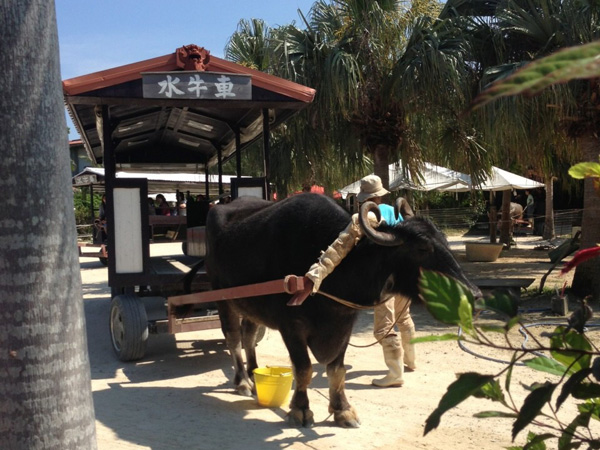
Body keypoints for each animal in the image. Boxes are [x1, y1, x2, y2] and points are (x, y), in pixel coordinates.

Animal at [205, 193, 478, 428]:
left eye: (444, 241)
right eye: (422, 248)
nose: (474, 295)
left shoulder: (345, 323)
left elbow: (337, 370)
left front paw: (343, 410)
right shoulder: (290, 326)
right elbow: (303, 369)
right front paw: (300, 410)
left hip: (249, 304)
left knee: (249, 335)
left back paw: (254, 374)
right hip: (223, 300)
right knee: (233, 338)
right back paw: (243, 381)